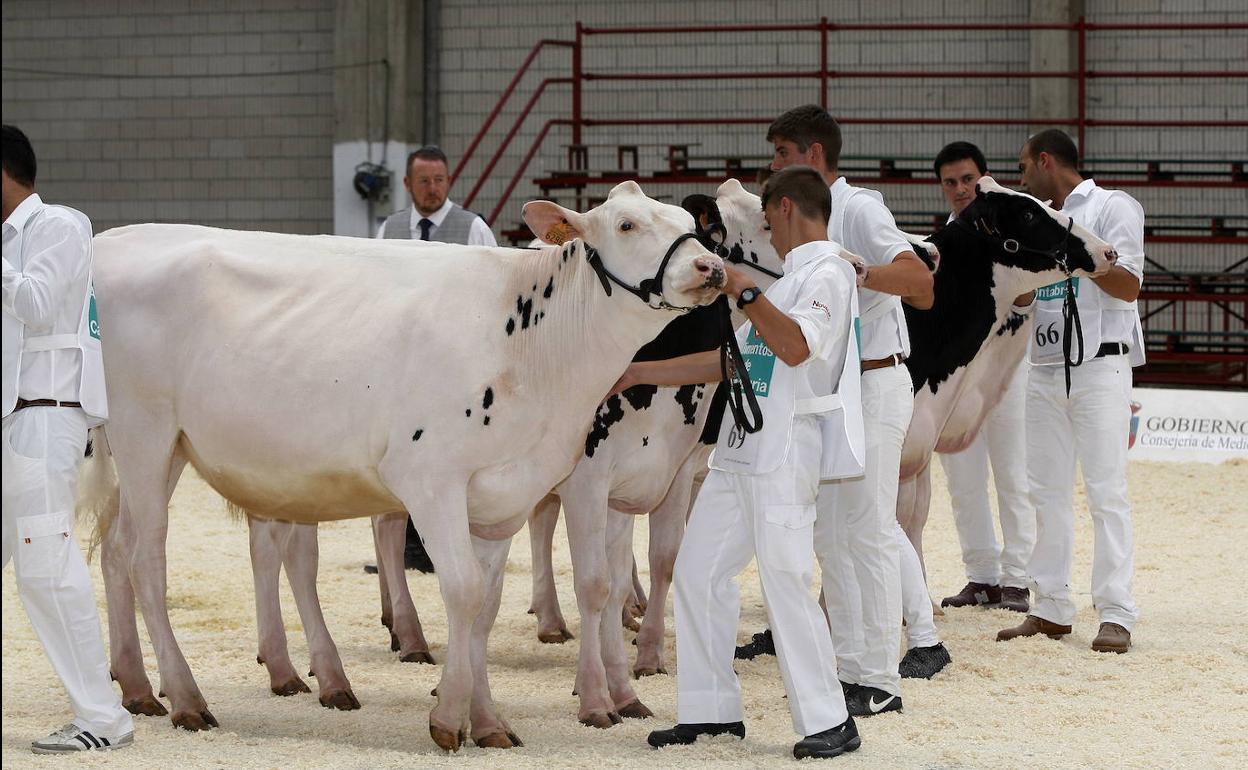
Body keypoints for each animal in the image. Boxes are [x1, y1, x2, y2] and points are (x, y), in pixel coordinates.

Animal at [80, 180, 726, 751]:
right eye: (627, 224)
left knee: (118, 548)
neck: (533, 347)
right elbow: (463, 591)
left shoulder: (504, 495)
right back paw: (188, 699)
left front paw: (487, 722)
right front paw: (449, 718)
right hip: (144, 431)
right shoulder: (433, 480)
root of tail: (112, 242)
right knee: (146, 559)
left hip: (167, 449)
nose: (711, 268)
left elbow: (485, 606)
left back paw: (139, 686)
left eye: (690, 225)